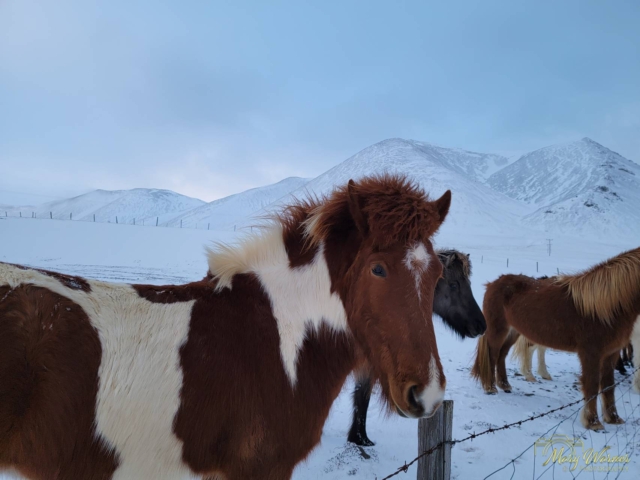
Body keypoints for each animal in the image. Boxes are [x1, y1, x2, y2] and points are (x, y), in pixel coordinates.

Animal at [347, 249, 485, 446]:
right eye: (453, 285)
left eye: (469, 283)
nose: (480, 325)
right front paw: (359, 438)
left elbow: (362, 396)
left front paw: (360, 438)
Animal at [472, 247, 640, 430]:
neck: (602, 308)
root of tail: (493, 283)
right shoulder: (591, 354)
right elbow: (592, 385)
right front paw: (593, 422)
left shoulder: (611, 353)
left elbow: (609, 386)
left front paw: (613, 418)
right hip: (498, 331)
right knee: (492, 355)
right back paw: (490, 388)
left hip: (513, 332)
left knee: (501, 355)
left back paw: (505, 385)